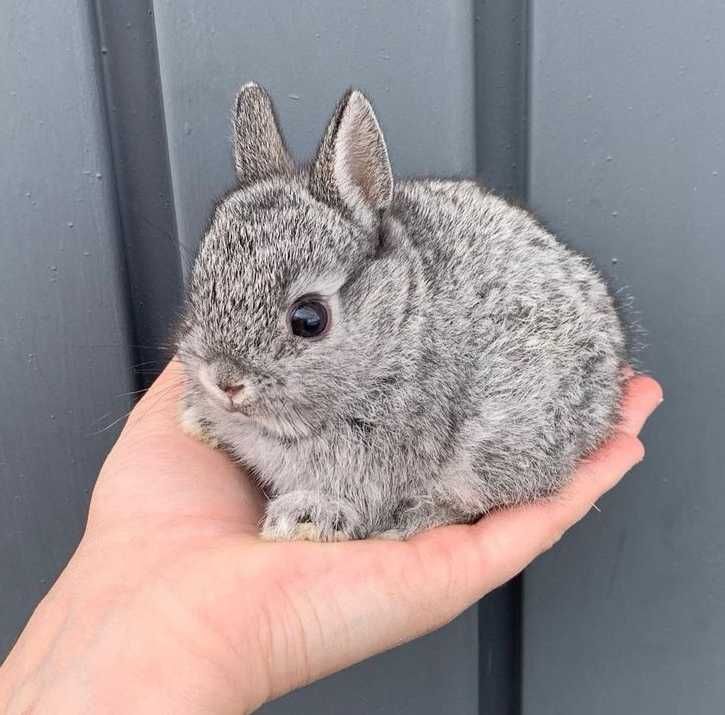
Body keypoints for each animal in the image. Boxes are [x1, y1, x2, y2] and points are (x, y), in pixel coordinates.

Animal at [175, 82, 628, 544]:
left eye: (309, 319)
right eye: (201, 287)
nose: (224, 381)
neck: (394, 330)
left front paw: (305, 517)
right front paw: (199, 420)